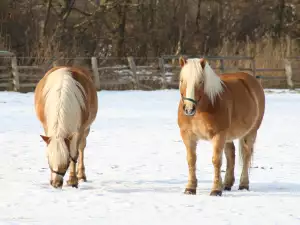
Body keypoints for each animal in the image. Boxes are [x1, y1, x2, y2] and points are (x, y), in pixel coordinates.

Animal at [178, 57, 264, 196]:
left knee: (246, 155)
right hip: (228, 136)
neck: (204, 108)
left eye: (200, 81)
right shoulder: (187, 135)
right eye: (182, 80)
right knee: (231, 154)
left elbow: (216, 161)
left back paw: (243, 184)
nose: (189, 109)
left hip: (251, 132)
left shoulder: (218, 135)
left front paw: (216, 189)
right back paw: (227, 184)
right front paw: (190, 188)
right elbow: (191, 159)